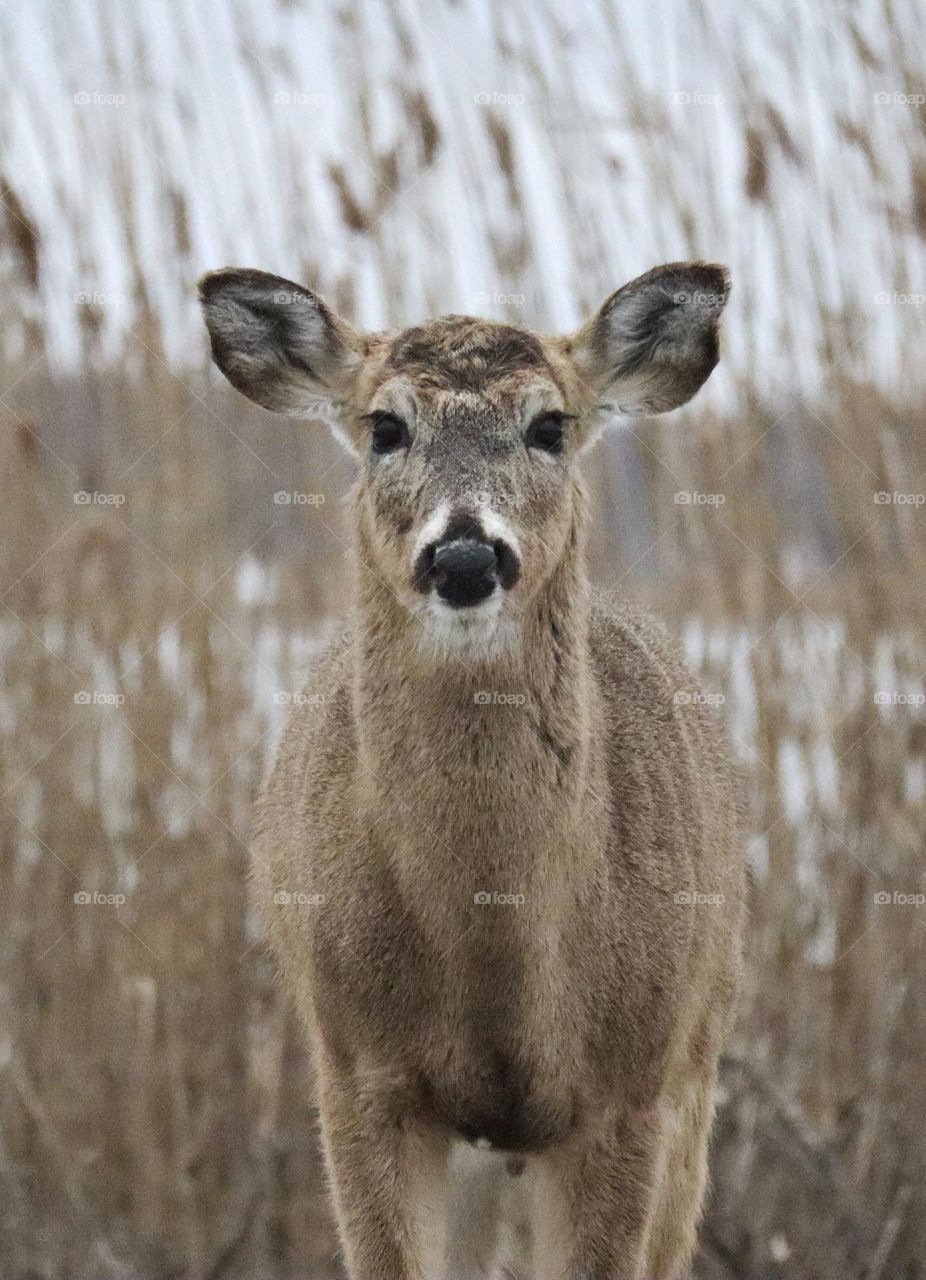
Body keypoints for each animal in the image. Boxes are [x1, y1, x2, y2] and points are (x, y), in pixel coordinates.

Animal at [198, 261, 746, 1280]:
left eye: (549, 425)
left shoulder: (630, 1088)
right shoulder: (358, 1070)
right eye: (385, 426)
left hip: (699, 1062)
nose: (462, 554)